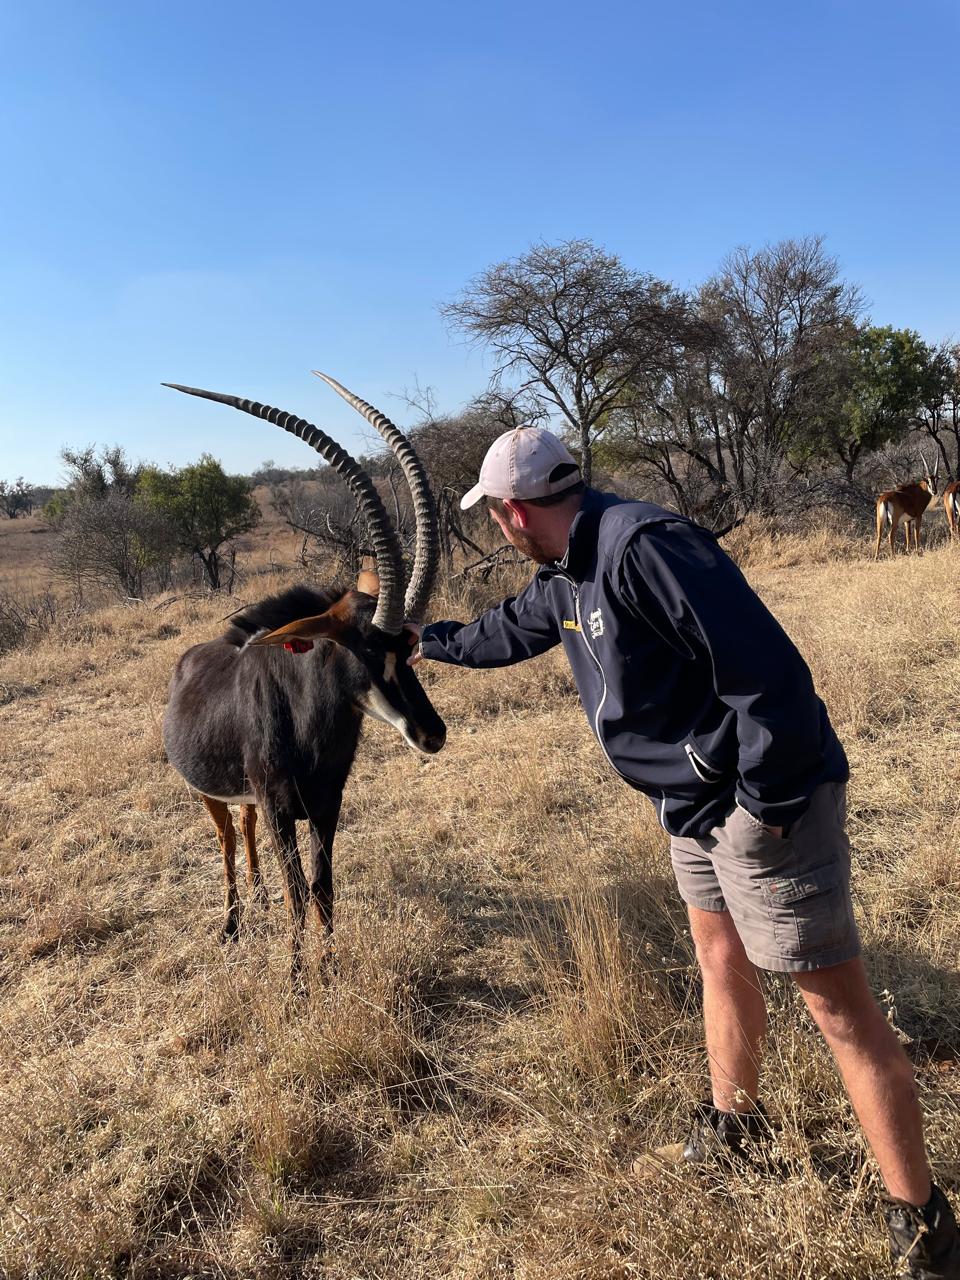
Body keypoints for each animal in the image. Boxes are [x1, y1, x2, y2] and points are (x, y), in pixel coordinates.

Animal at [161, 375, 446, 979]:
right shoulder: (280, 807)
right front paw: (296, 979)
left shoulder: (325, 802)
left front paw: (330, 967)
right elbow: (299, 891)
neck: (306, 721)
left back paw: (257, 897)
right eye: (367, 649)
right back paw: (232, 923)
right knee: (225, 839)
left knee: (244, 832)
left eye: (410, 645)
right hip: (208, 794)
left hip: (252, 800)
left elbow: (322, 886)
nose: (432, 735)